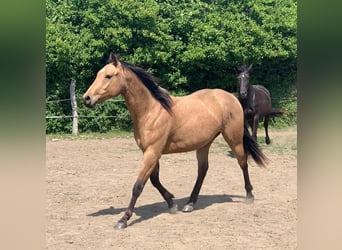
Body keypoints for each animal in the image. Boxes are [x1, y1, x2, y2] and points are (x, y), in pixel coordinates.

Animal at [82, 52, 268, 229]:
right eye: (98, 74)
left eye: (108, 76)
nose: (87, 98)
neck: (152, 110)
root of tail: (232, 97)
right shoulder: (151, 152)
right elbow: (154, 180)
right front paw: (172, 203)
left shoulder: (152, 152)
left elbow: (138, 185)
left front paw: (123, 219)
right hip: (204, 144)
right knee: (203, 170)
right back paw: (190, 204)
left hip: (234, 139)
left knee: (242, 162)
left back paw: (249, 195)